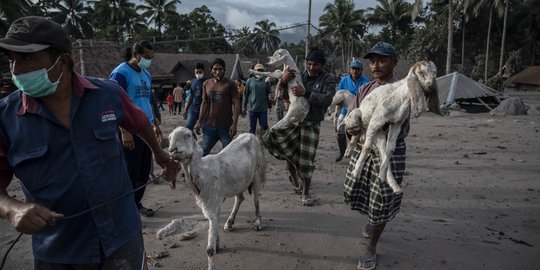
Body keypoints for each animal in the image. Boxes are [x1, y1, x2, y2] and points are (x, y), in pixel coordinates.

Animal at [166, 127, 264, 270]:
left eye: (188, 135)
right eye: (169, 137)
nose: (172, 150)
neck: (201, 174)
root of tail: (251, 135)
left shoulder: (211, 203)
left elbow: (209, 250)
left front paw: (213, 252)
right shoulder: (214, 203)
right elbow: (216, 221)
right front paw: (217, 243)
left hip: (256, 173)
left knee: (256, 200)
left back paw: (258, 222)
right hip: (238, 182)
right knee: (240, 198)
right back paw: (229, 222)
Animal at [346, 61, 438, 194]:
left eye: (435, 73)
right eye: (421, 73)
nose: (430, 86)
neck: (401, 98)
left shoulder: (397, 124)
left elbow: (390, 149)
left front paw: (382, 175)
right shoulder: (376, 120)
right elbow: (366, 147)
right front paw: (356, 172)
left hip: (379, 134)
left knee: (381, 149)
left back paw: (392, 184)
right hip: (356, 116)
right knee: (357, 135)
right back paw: (349, 150)